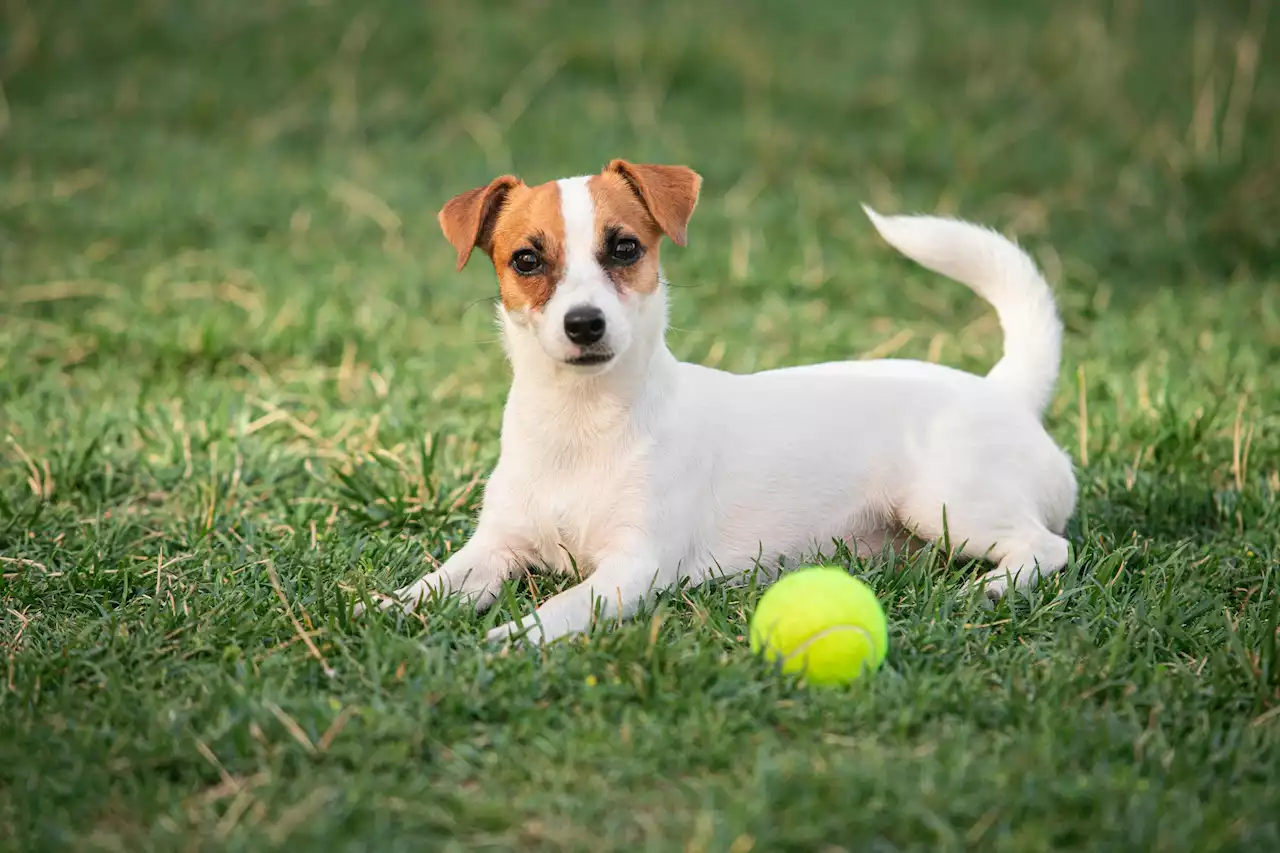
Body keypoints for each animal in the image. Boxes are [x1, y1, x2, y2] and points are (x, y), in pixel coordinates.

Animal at [355, 157, 1075, 645]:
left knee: (1047, 547)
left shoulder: (633, 567)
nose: (584, 323)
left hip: (947, 504)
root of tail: (1005, 389)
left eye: (625, 248)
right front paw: (385, 608)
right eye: (526, 260)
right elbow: (438, 583)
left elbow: (561, 607)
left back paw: (993, 587)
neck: (581, 423)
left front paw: (512, 637)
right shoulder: (495, 548)